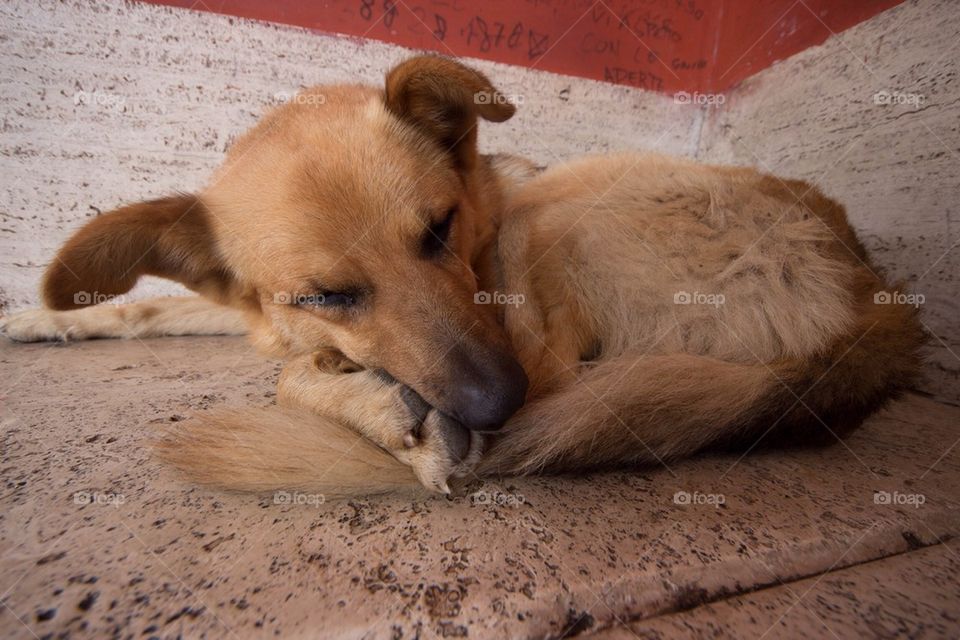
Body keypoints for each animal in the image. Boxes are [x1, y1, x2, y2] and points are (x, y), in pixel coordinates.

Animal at [3, 55, 928, 496]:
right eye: (325, 293)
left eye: (441, 228)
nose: (494, 405)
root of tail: (877, 303)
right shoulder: (259, 313)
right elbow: (159, 311)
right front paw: (45, 317)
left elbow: (286, 377)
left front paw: (371, 400)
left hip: (556, 215)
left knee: (558, 371)